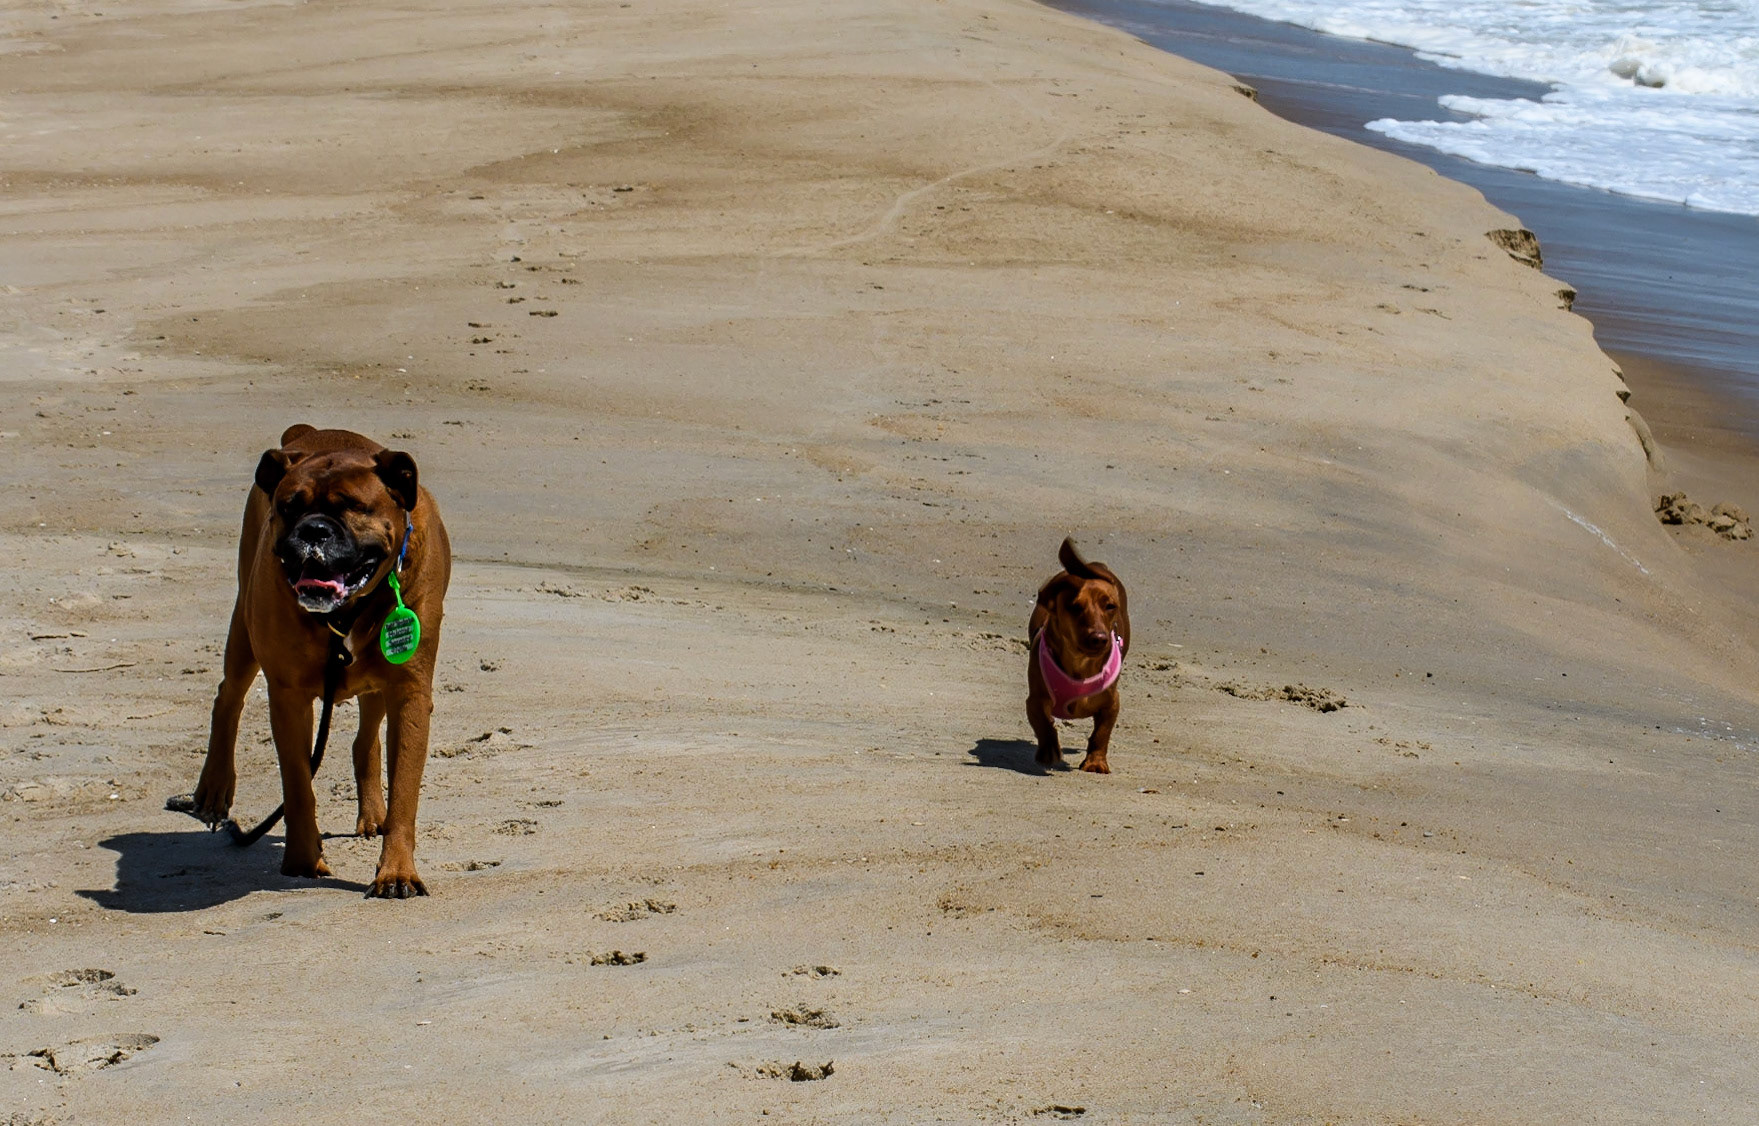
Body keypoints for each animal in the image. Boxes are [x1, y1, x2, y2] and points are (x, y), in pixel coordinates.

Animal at [190, 424, 451, 897]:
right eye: (289, 507)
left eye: (353, 507)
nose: (314, 530)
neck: (345, 613)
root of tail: (309, 432)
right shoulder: (288, 697)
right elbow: (297, 786)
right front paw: (302, 859)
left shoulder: (409, 693)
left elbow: (405, 790)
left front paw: (396, 871)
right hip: (243, 631)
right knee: (228, 697)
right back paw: (214, 787)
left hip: (376, 681)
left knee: (364, 739)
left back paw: (373, 814)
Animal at [1026, 537, 1130, 773]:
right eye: (1074, 607)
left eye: (1110, 606)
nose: (1099, 638)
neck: (1080, 663)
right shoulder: (1034, 700)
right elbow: (1044, 724)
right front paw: (1049, 751)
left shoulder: (1112, 703)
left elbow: (1101, 733)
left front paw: (1095, 762)